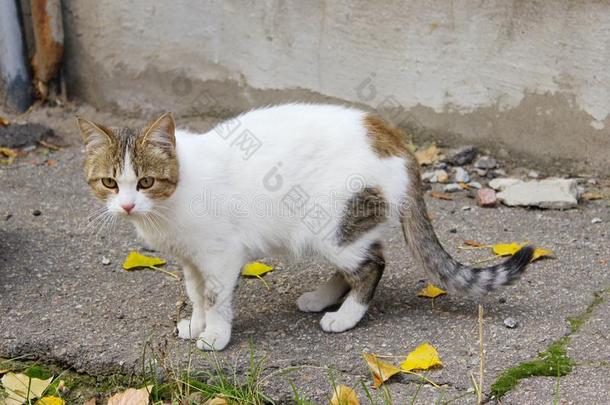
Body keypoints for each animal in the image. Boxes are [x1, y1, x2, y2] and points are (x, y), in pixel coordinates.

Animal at [77, 102, 532, 348]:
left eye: (146, 182)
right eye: (110, 183)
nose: (128, 205)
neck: (169, 206)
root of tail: (392, 135)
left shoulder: (221, 254)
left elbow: (216, 297)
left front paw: (215, 334)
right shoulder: (190, 259)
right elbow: (195, 292)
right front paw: (197, 323)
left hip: (333, 226)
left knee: (372, 265)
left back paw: (345, 316)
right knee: (359, 262)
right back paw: (321, 299)